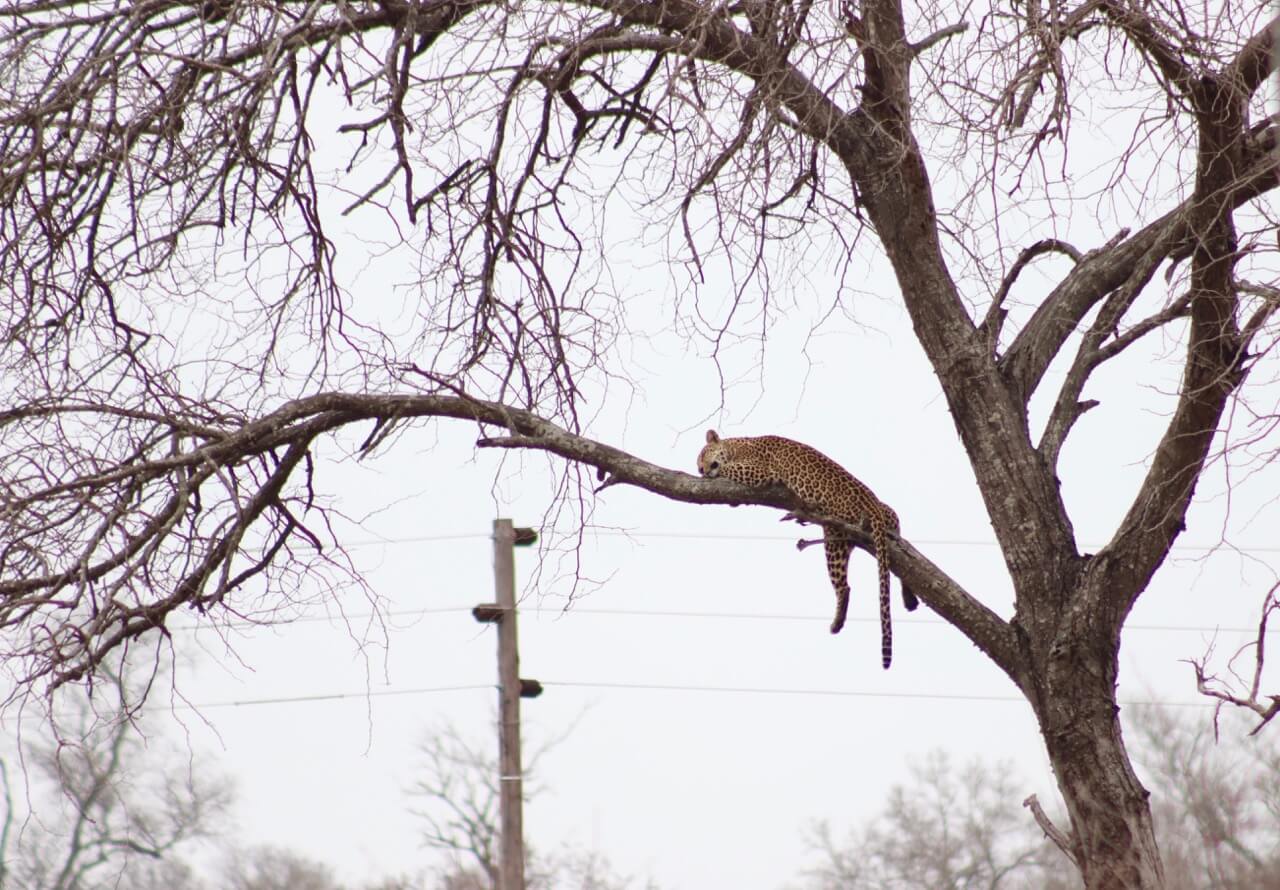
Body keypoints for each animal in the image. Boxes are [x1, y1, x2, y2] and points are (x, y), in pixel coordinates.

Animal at [696, 430, 916, 665]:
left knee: (844, 586)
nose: (702, 471)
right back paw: (909, 598)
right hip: (891, 517)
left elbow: (728, 469)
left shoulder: (759, 471)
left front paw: (714, 473)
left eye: (703, 456)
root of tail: (872, 505)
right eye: (698, 465)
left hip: (834, 537)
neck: (737, 445)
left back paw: (837, 623)